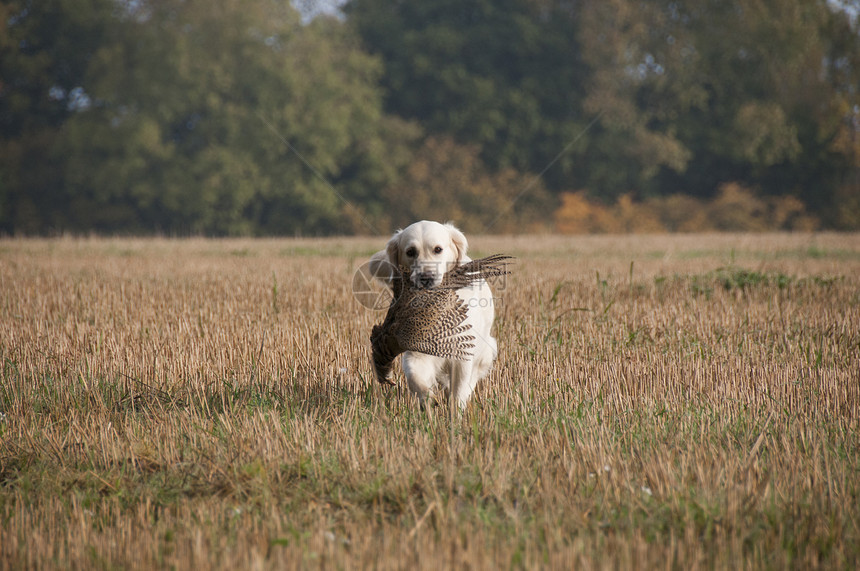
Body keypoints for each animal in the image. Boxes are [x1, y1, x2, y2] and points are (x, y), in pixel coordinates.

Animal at [370, 220, 498, 412]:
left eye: (438, 249)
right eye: (410, 252)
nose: (426, 277)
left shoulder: (463, 353)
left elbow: (458, 392)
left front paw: (455, 414)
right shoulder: (418, 347)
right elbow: (414, 376)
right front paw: (428, 398)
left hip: (485, 350)